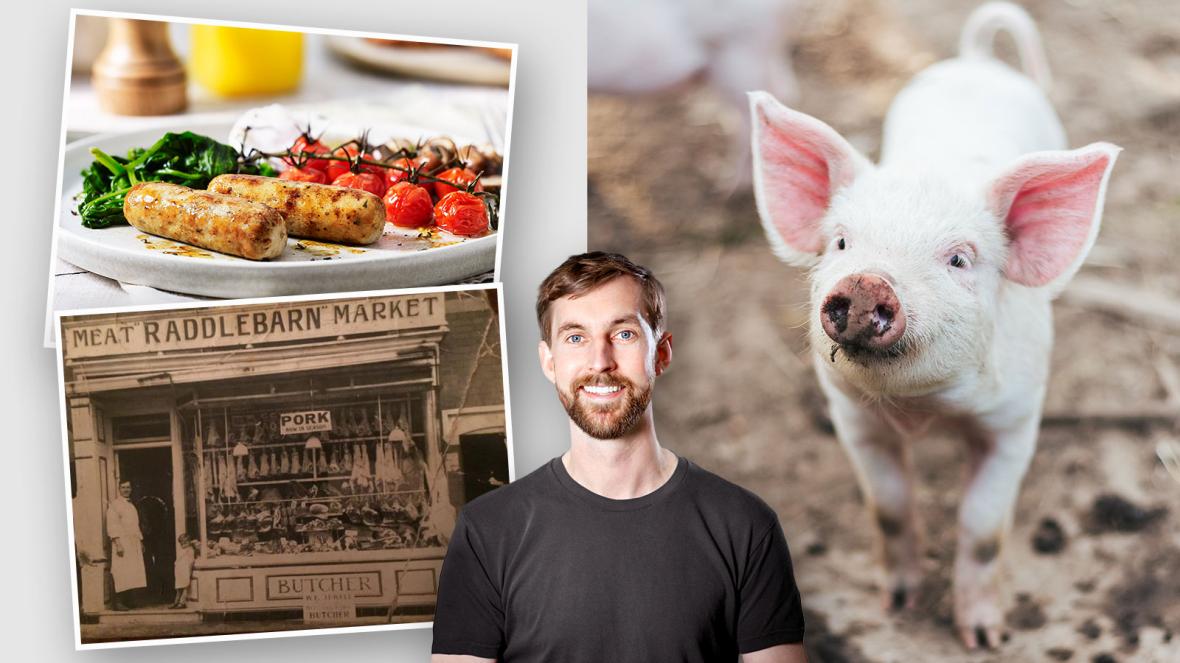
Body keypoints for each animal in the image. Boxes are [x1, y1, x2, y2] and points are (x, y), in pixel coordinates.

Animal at [750, 1, 1118, 651]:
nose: (867, 282)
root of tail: (975, 59)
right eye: (840, 242)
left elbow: (982, 528)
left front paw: (985, 639)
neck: (923, 412)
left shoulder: (1016, 421)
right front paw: (897, 606)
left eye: (959, 259)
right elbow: (890, 507)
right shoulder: (851, 415)